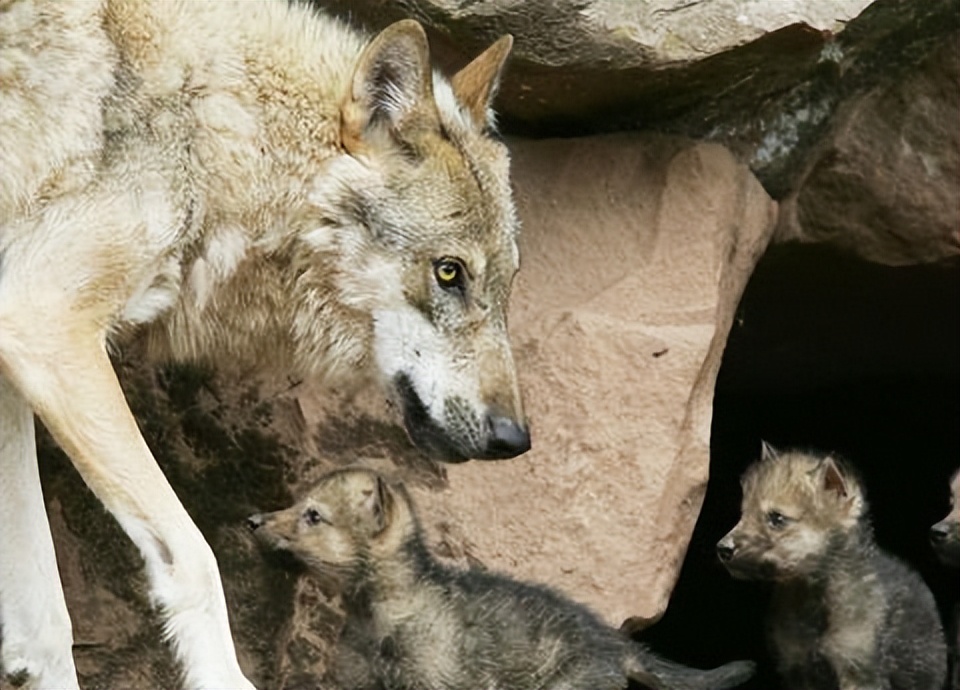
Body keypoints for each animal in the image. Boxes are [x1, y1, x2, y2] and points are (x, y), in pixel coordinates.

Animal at [0, 1, 528, 684]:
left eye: (507, 283)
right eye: (448, 272)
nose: (514, 439)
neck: (216, 129)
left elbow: (44, 624)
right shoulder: (42, 318)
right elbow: (197, 562)